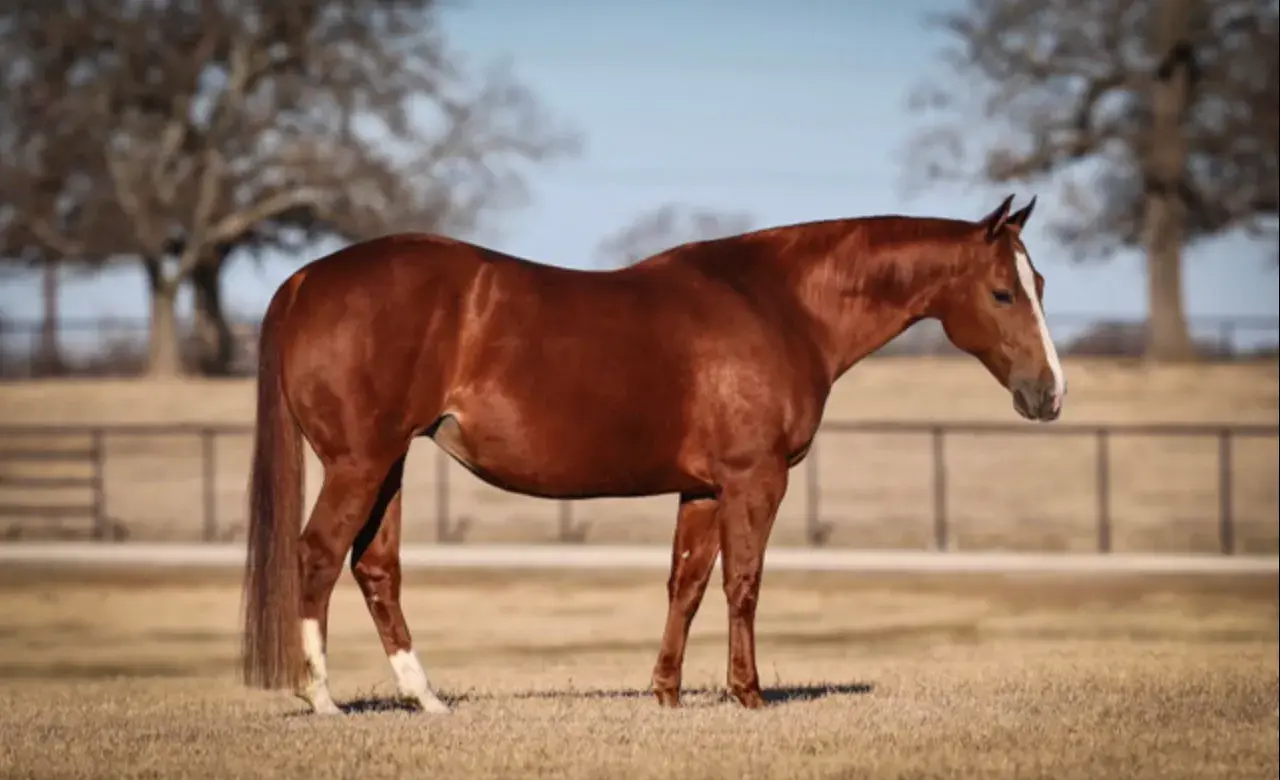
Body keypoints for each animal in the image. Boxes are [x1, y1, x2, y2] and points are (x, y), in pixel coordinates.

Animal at [239, 193, 1066, 715]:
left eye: (1040, 283)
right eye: (1002, 292)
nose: (1050, 394)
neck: (780, 305)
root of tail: (306, 278)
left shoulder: (701, 489)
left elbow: (686, 586)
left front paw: (666, 693)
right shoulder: (754, 480)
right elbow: (743, 585)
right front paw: (748, 694)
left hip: (389, 465)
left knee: (376, 568)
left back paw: (427, 699)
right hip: (360, 462)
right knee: (319, 555)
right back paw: (322, 698)